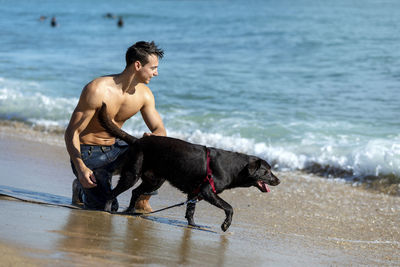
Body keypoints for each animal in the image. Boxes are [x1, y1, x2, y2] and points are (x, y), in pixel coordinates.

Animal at [97, 103, 278, 231]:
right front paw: (225, 225)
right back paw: (107, 211)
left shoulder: (195, 192)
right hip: (132, 175)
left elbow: (190, 211)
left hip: (154, 181)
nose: (279, 181)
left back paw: (129, 211)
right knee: (112, 193)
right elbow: (229, 207)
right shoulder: (207, 190)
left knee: (135, 192)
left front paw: (193, 225)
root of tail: (137, 141)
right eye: (267, 171)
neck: (234, 168)